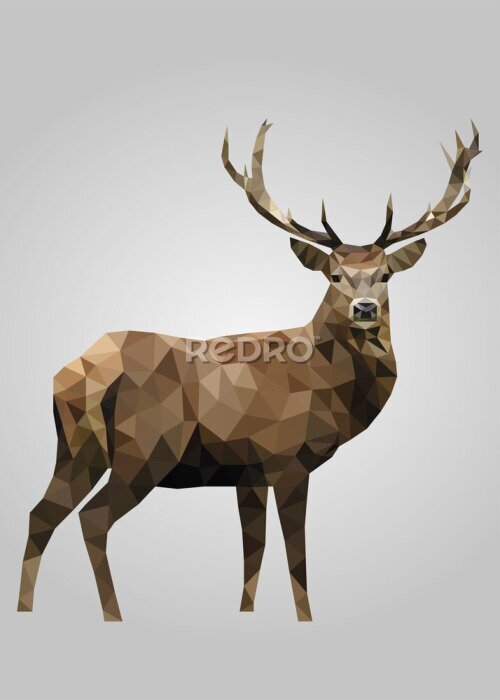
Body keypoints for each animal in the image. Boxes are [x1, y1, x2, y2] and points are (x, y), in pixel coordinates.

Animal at [18, 121, 480, 622]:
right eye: (333, 275)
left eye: (387, 275)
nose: (364, 308)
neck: (326, 385)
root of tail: (77, 375)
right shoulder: (287, 459)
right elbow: (296, 556)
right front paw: (306, 619)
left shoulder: (247, 473)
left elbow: (252, 556)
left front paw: (245, 615)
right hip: (146, 448)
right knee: (91, 519)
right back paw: (114, 615)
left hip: (75, 448)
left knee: (41, 513)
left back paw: (26, 609)